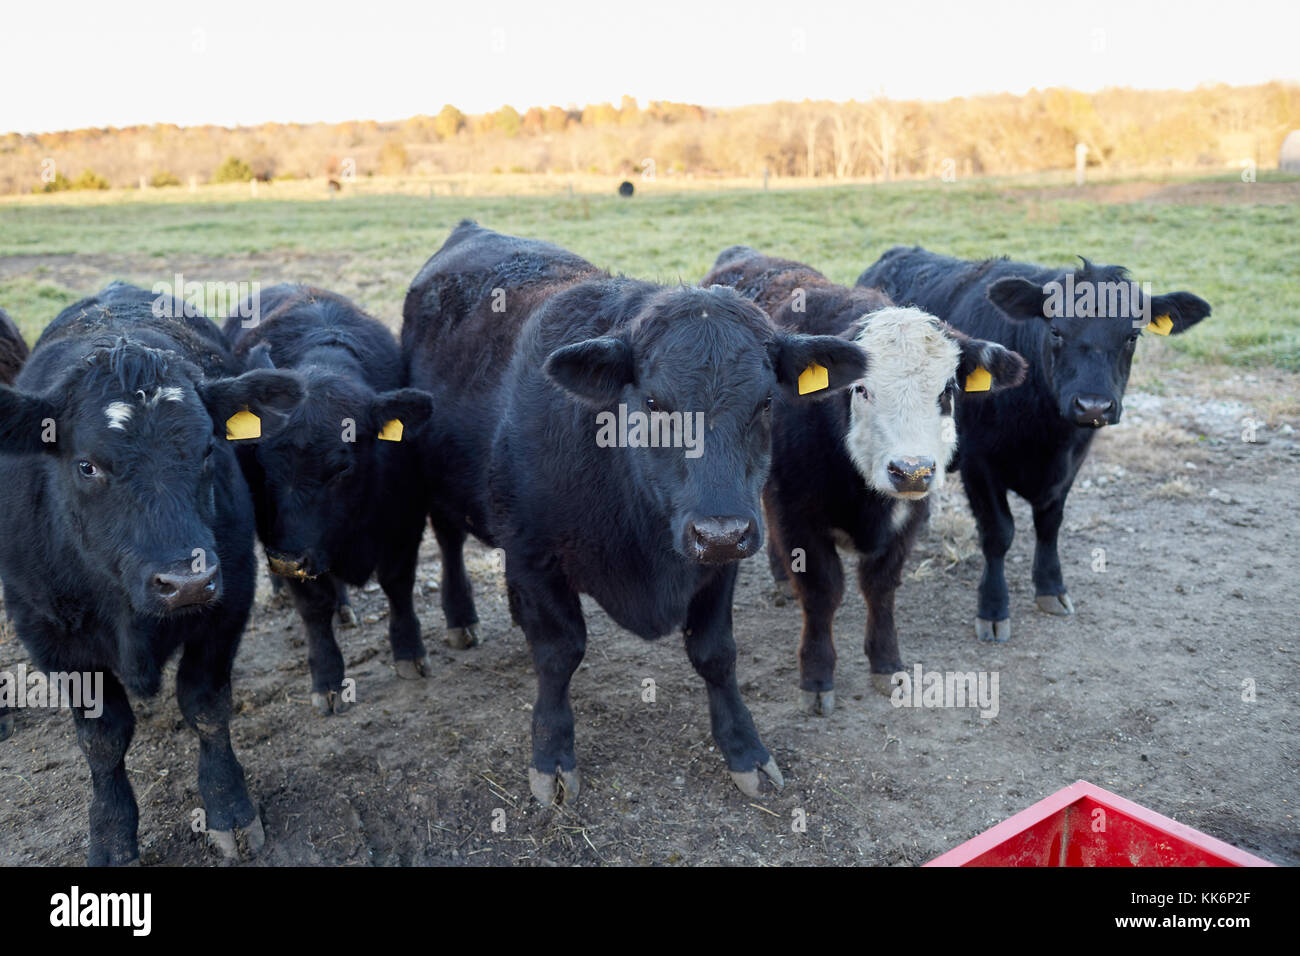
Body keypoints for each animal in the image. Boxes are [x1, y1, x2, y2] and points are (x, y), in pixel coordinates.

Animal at [0, 281, 304, 864]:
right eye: (87, 465)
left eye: (209, 449)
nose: (185, 582)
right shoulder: (49, 634)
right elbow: (102, 740)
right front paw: (113, 835)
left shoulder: (228, 601)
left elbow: (206, 706)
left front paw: (229, 807)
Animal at [224, 285, 434, 715]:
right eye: (262, 460)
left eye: (340, 467)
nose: (286, 559)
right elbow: (313, 608)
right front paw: (328, 679)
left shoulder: (406, 522)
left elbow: (398, 586)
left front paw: (409, 652)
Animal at [402, 221, 866, 803]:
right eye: (653, 403)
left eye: (765, 402)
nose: (719, 531)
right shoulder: (534, 555)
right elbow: (558, 654)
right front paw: (552, 756)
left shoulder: (722, 562)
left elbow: (716, 653)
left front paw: (745, 749)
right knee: (447, 541)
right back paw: (461, 619)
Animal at [703, 247, 1026, 713]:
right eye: (861, 390)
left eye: (947, 390)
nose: (911, 470)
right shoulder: (797, 512)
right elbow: (822, 593)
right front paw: (817, 676)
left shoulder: (908, 519)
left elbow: (881, 587)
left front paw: (886, 663)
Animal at [857, 246, 1211, 642]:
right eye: (1055, 330)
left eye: (1132, 336)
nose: (1093, 405)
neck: (1046, 433)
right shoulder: (979, 464)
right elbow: (999, 532)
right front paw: (993, 608)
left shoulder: (1072, 462)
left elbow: (1050, 523)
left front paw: (1051, 588)